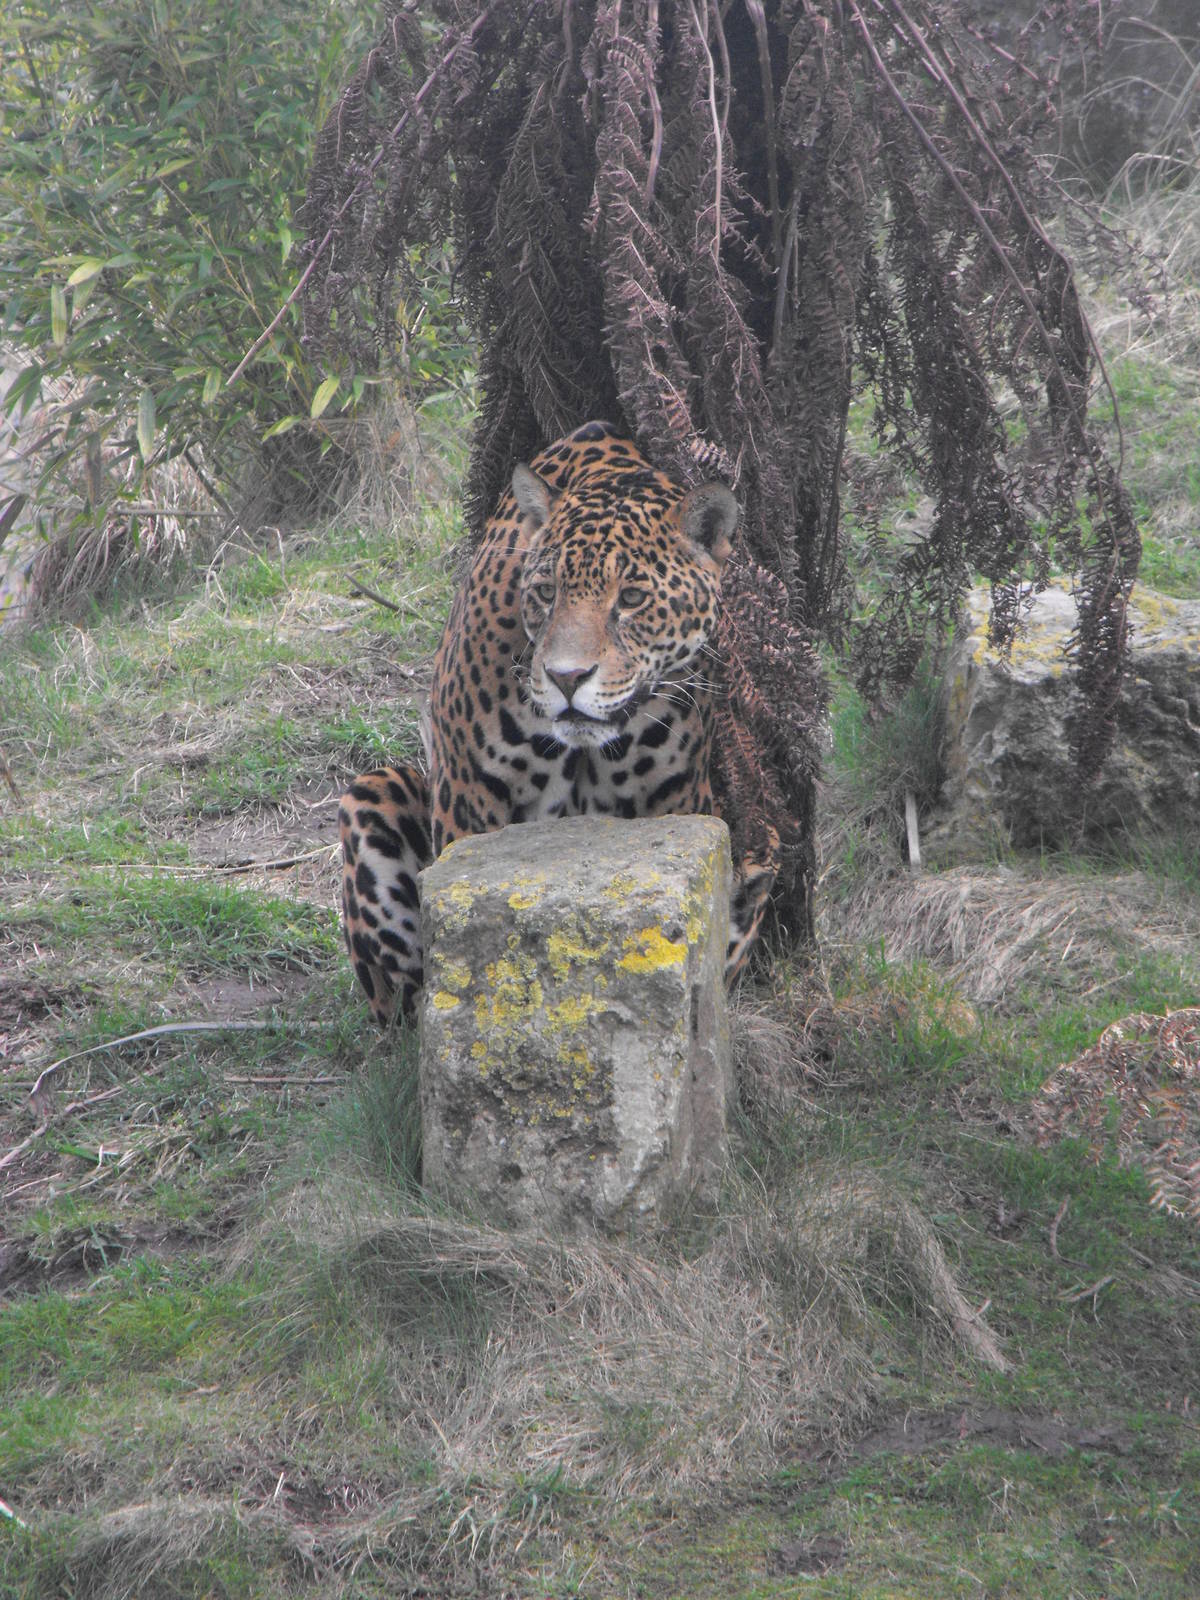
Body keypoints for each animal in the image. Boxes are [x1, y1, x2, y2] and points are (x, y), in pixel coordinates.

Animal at [338, 420, 779, 1027]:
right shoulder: (469, 806)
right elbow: (470, 938)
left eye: (632, 598)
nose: (567, 678)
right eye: (546, 592)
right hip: (376, 789)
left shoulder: (674, 807)